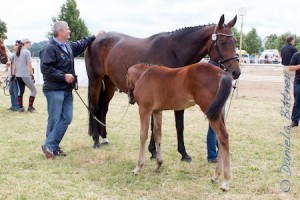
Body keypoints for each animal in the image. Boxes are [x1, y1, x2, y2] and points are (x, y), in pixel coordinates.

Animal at [85, 14, 240, 162]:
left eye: (235, 42)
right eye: (222, 41)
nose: (236, 72)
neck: (174, 52)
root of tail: (96, 39)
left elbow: (179, 125)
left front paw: (183, 154)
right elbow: (154, 125)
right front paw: (153, 151)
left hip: (109, 83)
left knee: (104, 108)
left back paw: (104, 137)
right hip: (95, 80)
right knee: (94, 107)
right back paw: (96, 140)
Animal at [126, 62, 232, 191]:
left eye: (126, 78)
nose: (130, 99)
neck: (144, 75)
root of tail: (222, 73)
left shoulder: (144, 110)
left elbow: (143, 135)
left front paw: (138, 167)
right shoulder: (157, 111)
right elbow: (157, 134)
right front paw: (158, 164)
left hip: (210, 112)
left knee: (223, 136)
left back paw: (225, 181)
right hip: (218, 112)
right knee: (220, 140)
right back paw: (216, 176)